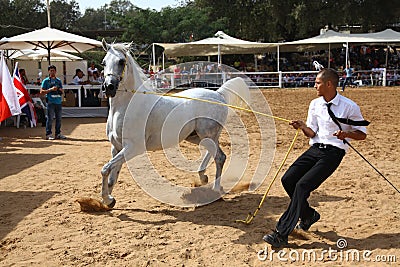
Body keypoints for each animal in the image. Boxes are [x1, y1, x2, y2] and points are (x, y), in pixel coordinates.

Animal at [100, 39, 250, 208]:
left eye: (121, 61)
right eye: (104, 62)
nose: (108, 87)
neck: (126, 107)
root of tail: (219, 94)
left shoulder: (133, 148)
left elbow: (105, 169)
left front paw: (107, 199)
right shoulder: (116, 147)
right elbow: (112, 177)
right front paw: (110, 201)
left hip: (207, 134)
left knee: (220, 157)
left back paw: (216, 190)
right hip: (198, 136)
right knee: (214, 152)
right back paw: (203, 177)